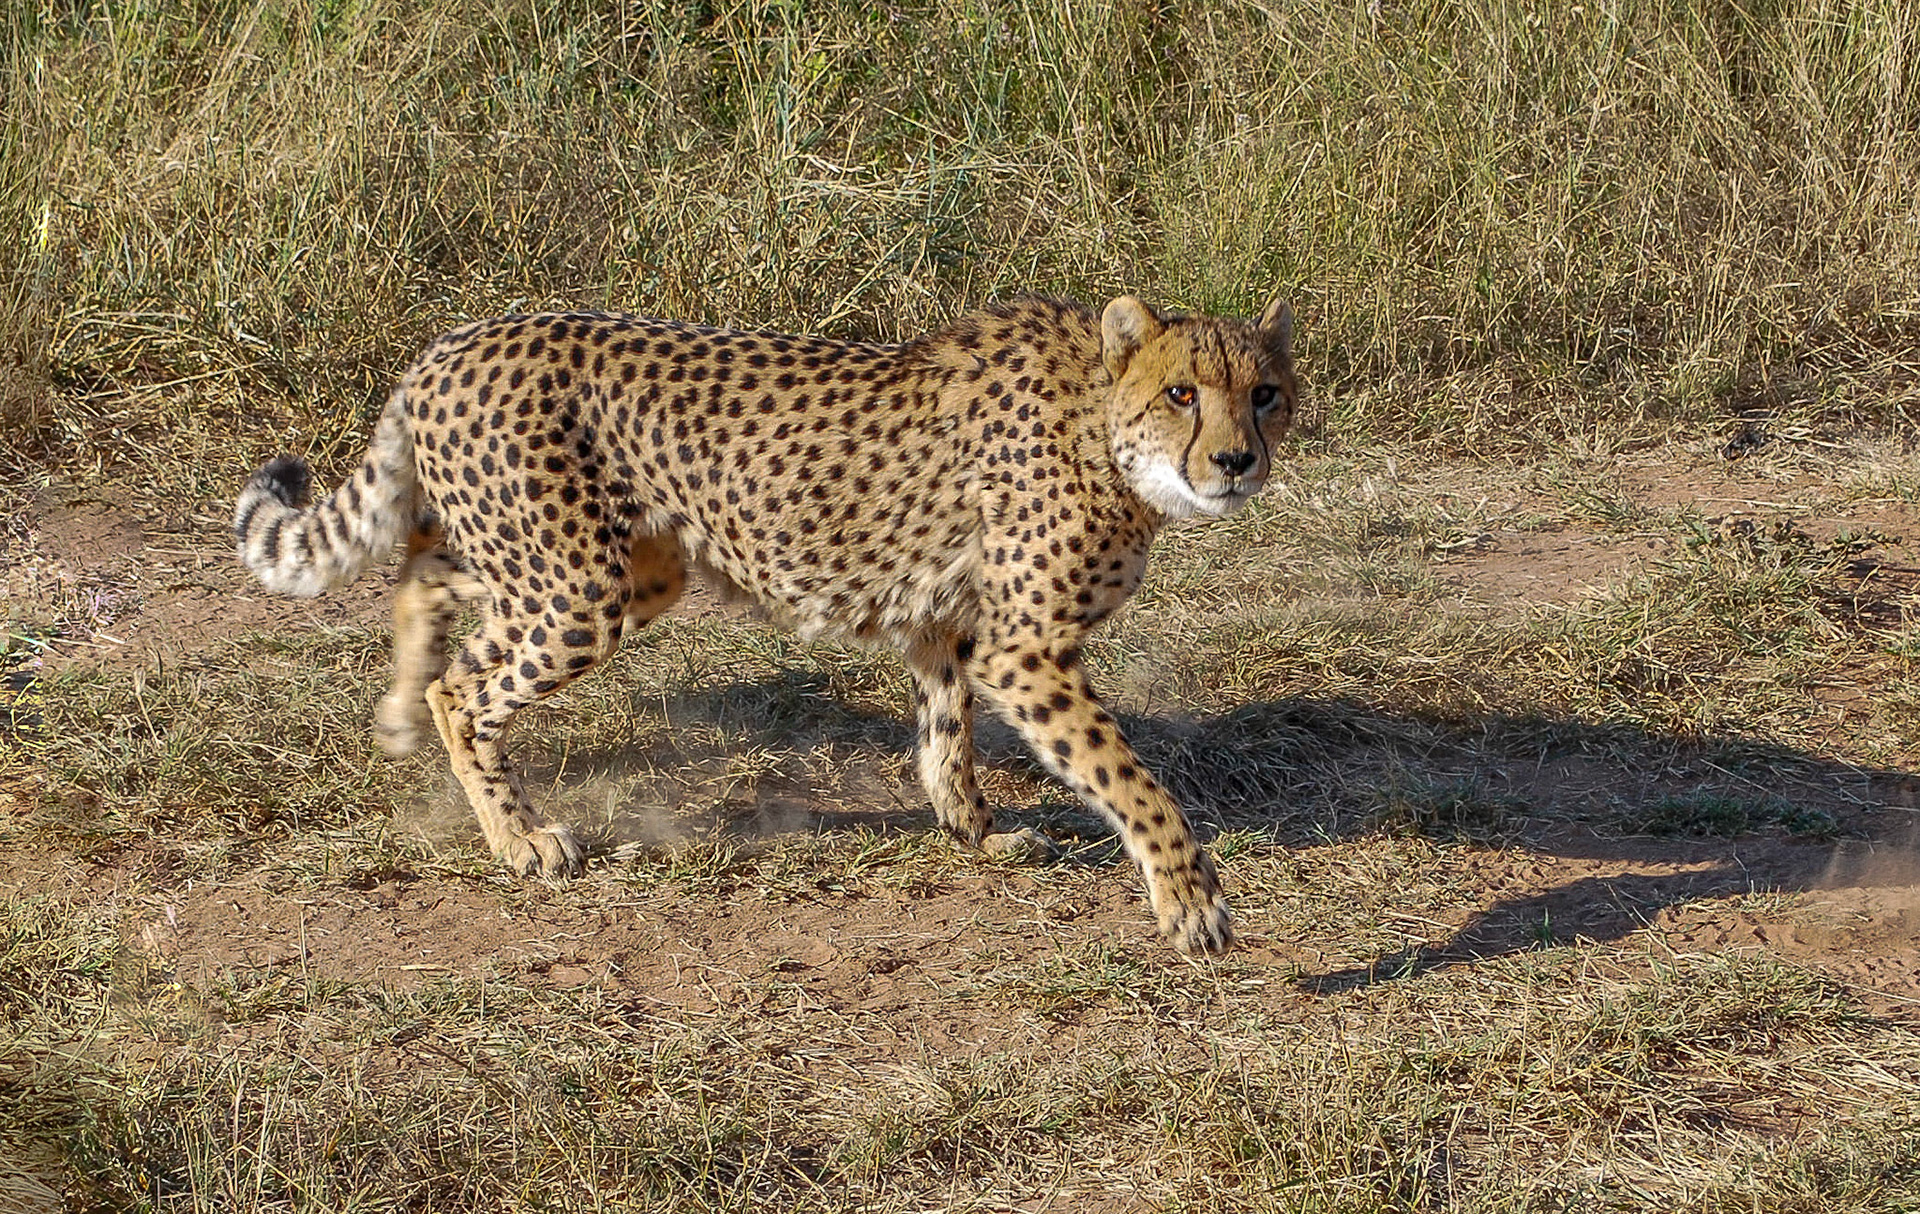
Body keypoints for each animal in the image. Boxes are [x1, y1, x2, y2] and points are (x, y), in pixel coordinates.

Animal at [233, 294, 1297, 953]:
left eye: (1265, 394)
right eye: (1182, 393)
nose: (1237, 460)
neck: (1103, 428)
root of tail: (454, 341)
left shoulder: (949, 627)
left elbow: (942, 737)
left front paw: (976, 835)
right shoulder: (1024, 649)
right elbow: (1125, 774)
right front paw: (1192, 898)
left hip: (620, 567)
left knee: (425, 568)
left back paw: (399, 711)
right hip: (576, 587)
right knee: (467, 687)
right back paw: (518, 836)